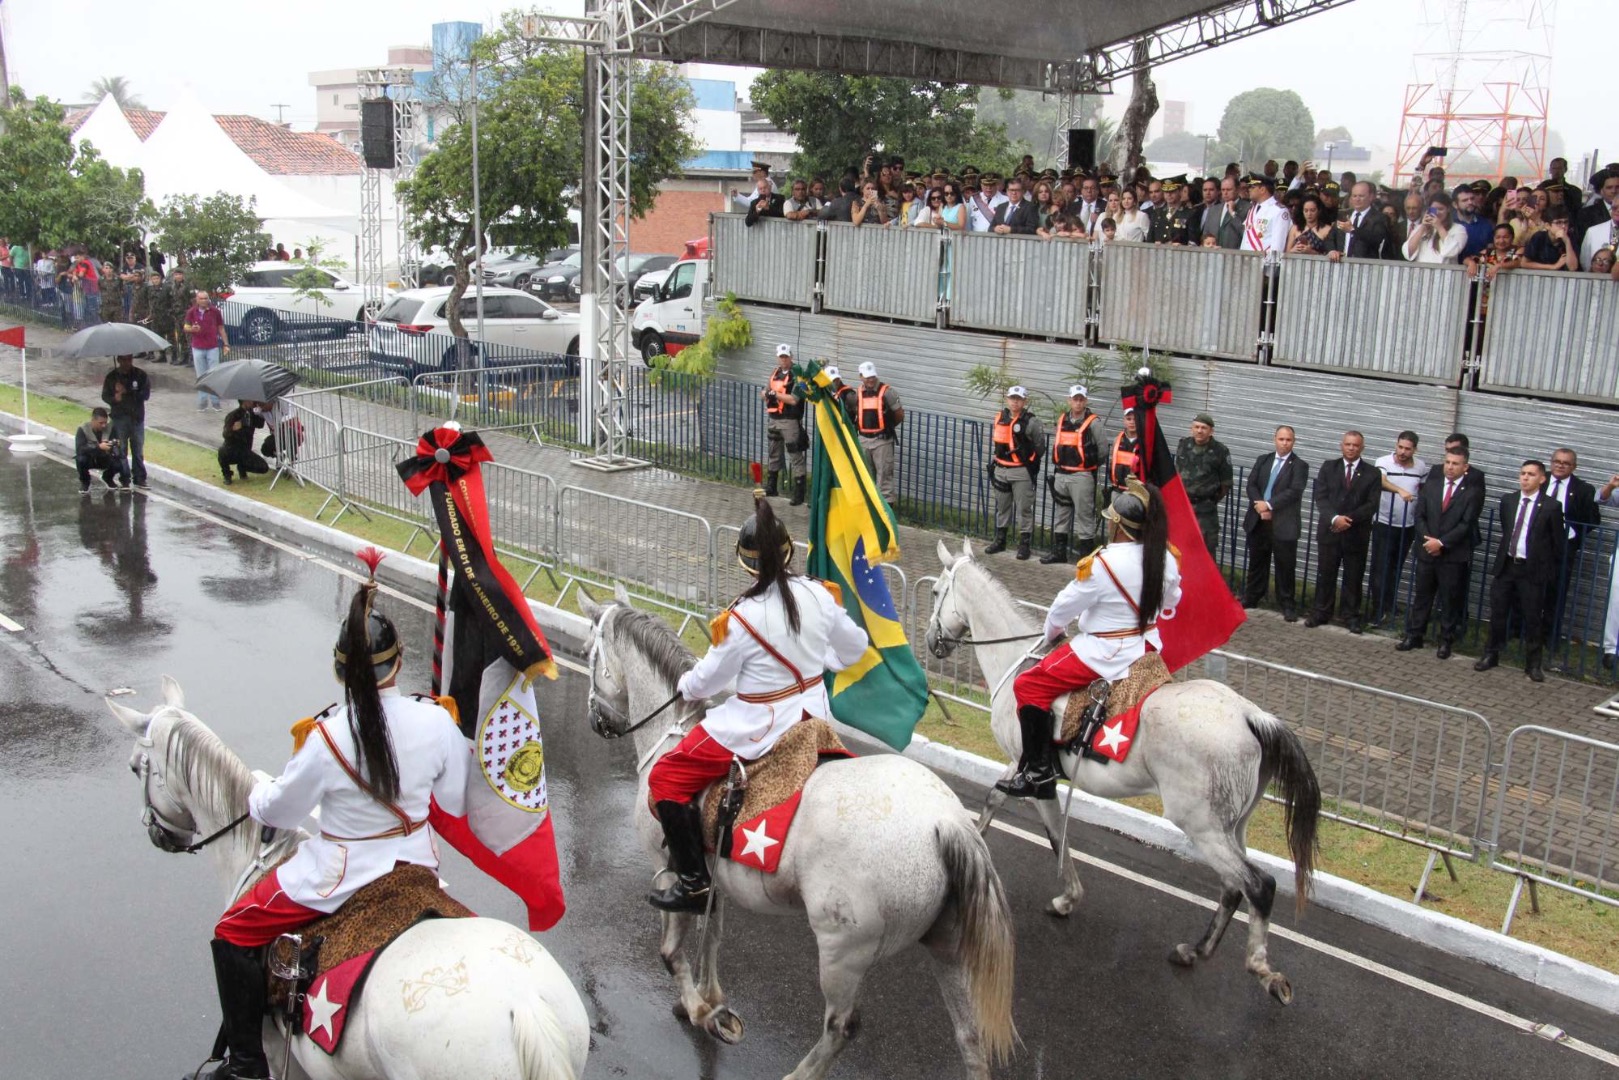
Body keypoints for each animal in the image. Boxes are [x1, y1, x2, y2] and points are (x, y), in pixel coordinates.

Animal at [579, 592, 1010, 1080]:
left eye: (587, 653)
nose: (597, 720)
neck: (672, 734)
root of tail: (946, 823)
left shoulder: (668, 871)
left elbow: (672, 951)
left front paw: (699, 1009)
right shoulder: (712, 879)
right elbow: (714, 936)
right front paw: (712, 1001)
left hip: (843, 951)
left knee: (841, 1026)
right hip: (948, 947)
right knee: (970, 1036)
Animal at [926, 540, 1314, 1003]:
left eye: (936, 593)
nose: (931, 642)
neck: (1019, 661)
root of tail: (1250, 716)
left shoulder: (1035, 774)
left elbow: (1055, 834)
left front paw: (1067, 898)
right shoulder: (1020, 763)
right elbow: (993, 799)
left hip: (1202, 825)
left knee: (1258, 885)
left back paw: (1261, 968)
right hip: (1232, 825)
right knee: (1234, 886)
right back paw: (1195, 951)